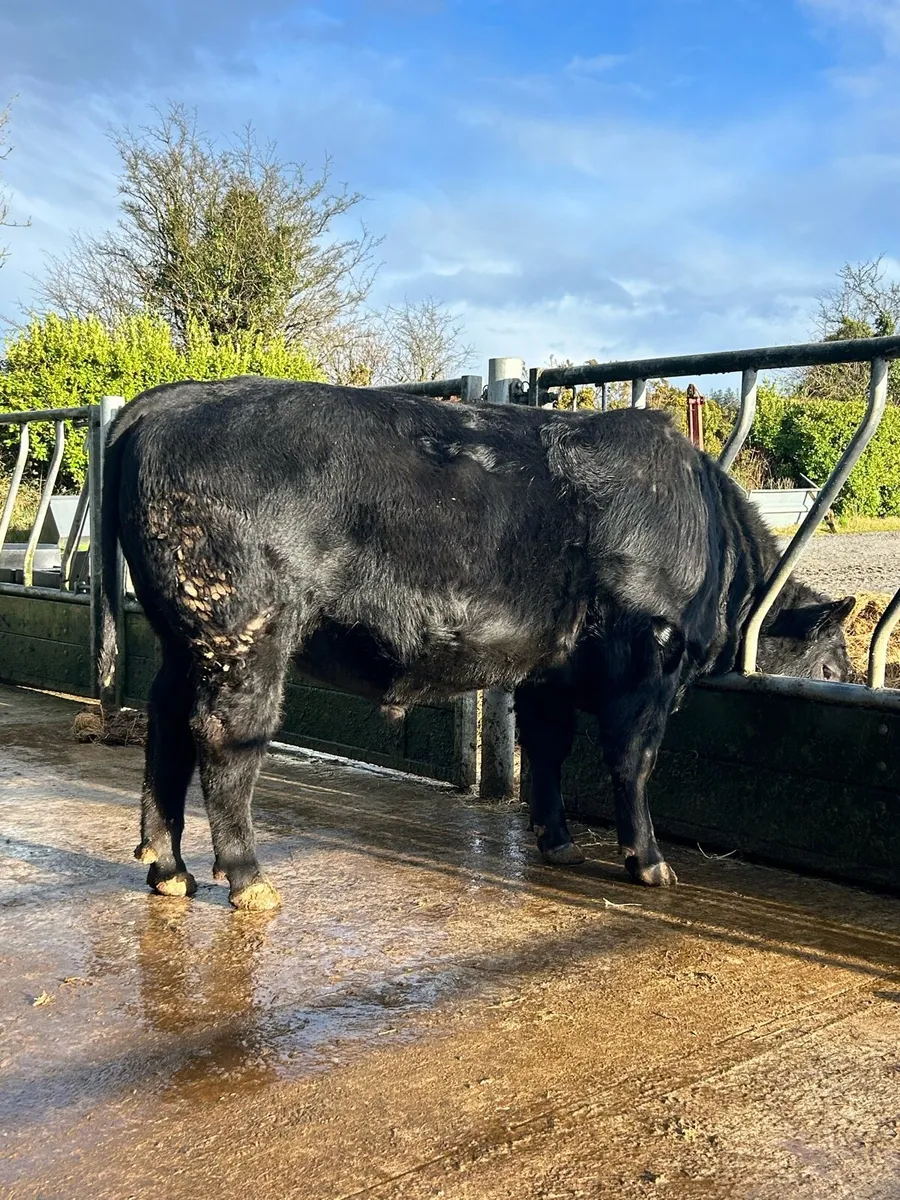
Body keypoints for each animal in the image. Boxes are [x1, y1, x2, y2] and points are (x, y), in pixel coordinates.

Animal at [99, 378, 855, 911]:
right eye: (832, 660)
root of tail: (170, 399)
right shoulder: (647, 667)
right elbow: (632, 761)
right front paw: (649, 862)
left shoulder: (550, 673)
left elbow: (548, 751)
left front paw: (558, 843)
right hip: (244, 632)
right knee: (224, 736)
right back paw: (249, 879)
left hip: (183, 639)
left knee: (165, 725)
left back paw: (169, 869)